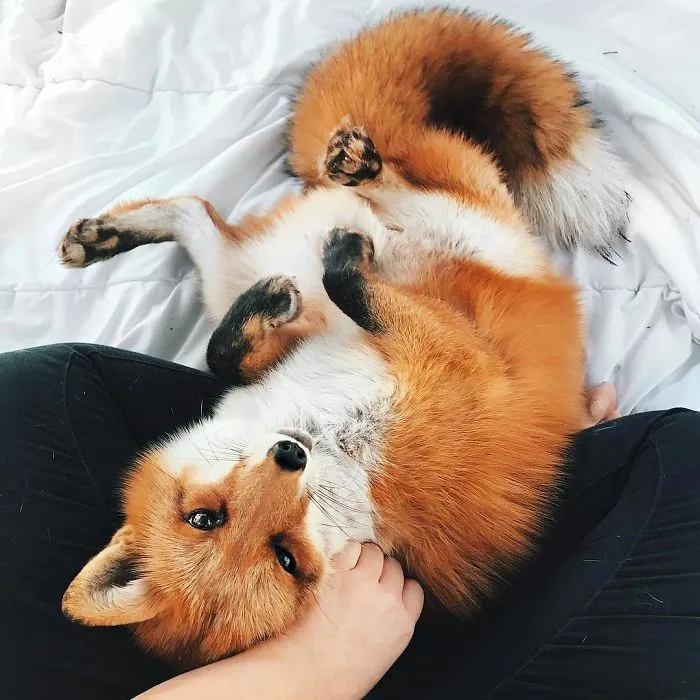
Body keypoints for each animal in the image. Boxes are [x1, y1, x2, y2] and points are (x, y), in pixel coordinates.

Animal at [58, 9, 628, 668]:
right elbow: (288, 313)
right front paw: (322, 273)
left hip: (434, 221)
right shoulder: (420, 352)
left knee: (245, 201)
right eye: (286, 558)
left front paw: (286, 297)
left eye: (204, 518)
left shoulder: (391, 349)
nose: (289, 455)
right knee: (199, 213)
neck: (332, 436)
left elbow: (230, 348)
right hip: (249, 268)